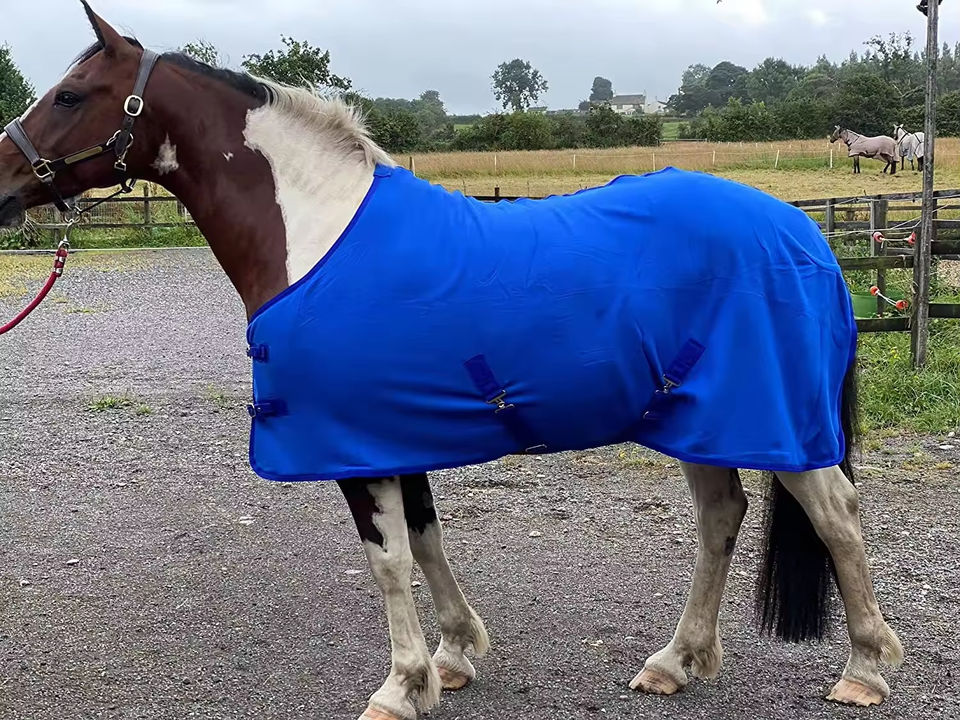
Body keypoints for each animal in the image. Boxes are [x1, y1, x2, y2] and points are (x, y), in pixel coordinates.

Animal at [0, 4, 903, 719]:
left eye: (71, 95)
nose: (2, 181)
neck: (317, 232)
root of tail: (801, 231)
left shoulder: (355, 441)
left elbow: (389, 559)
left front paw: (401, 686)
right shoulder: (395, 432)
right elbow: (428, 541)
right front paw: (456, 655)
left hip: (774, 420)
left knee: (837, 516)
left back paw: (863, 669)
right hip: (698, 418)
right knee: (721, 518)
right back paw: (674, 663)